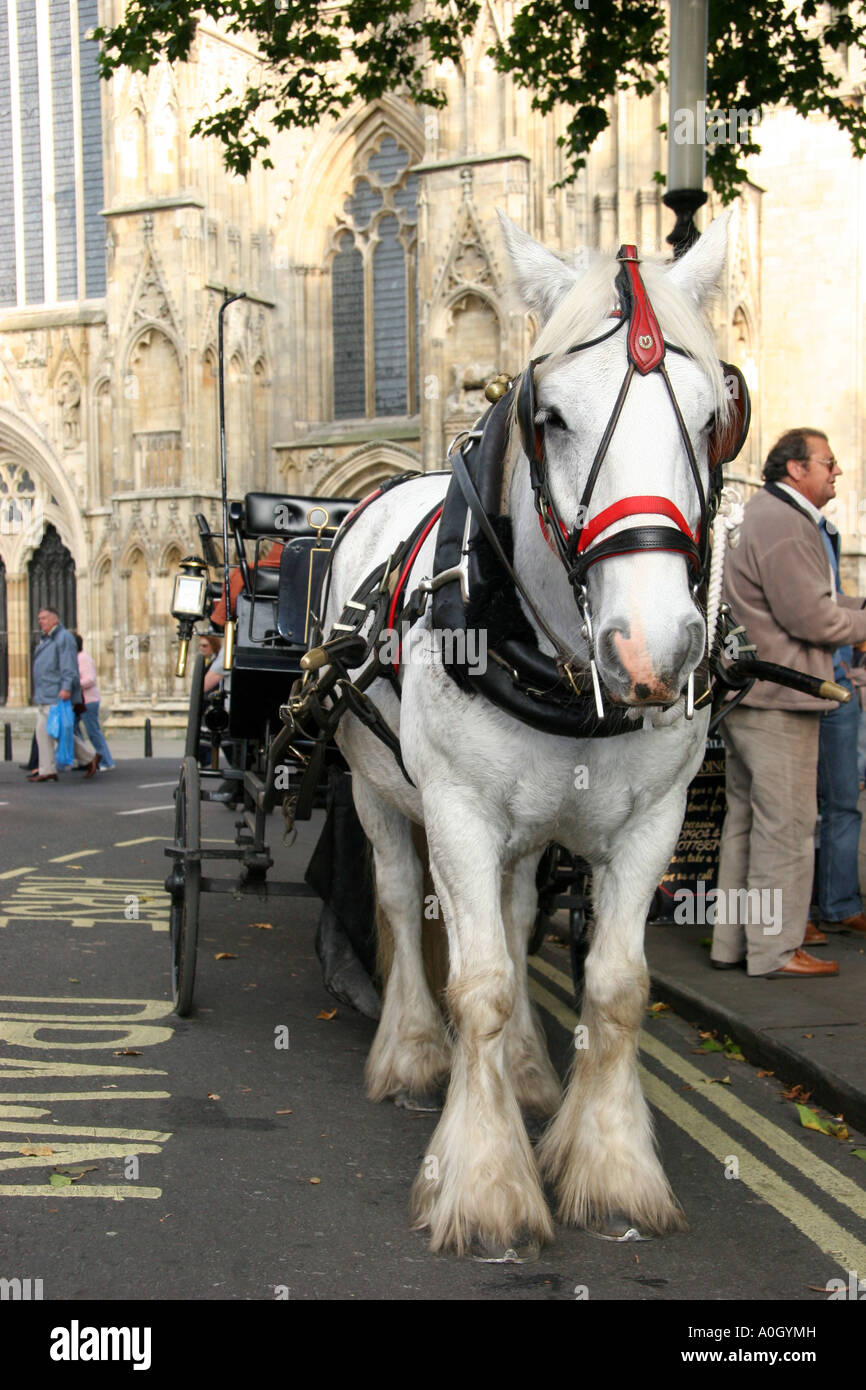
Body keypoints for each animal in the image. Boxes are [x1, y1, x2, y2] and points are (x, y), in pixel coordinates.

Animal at [321, 209, 743, 1257]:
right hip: (372, 783)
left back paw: (524, 1074)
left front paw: (611, 1169)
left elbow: (614, 986)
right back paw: (411, 1052)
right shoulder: (459, 813)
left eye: (712, 416)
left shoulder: (654, 820)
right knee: (400, 899)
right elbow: (479, 983)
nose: (651, 648)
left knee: (514, 918)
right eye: (550, 416)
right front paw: (483, 1184)